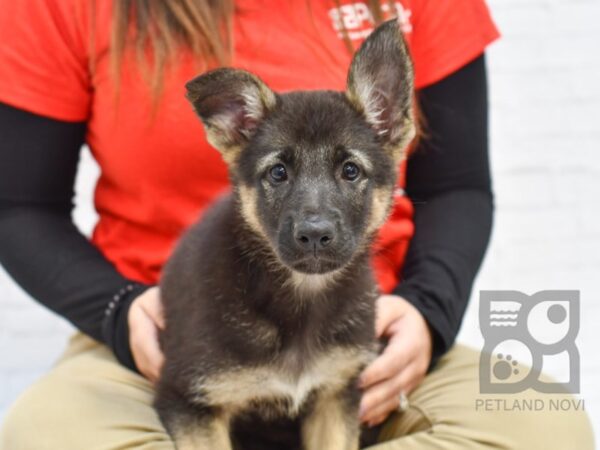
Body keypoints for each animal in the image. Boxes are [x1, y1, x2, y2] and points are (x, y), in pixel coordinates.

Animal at [157, 18, 414, 450]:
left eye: (350, 170)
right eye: (278, 173)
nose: (314, 235)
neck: (300, 301)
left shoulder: (335, 396)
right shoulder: (190, 401)